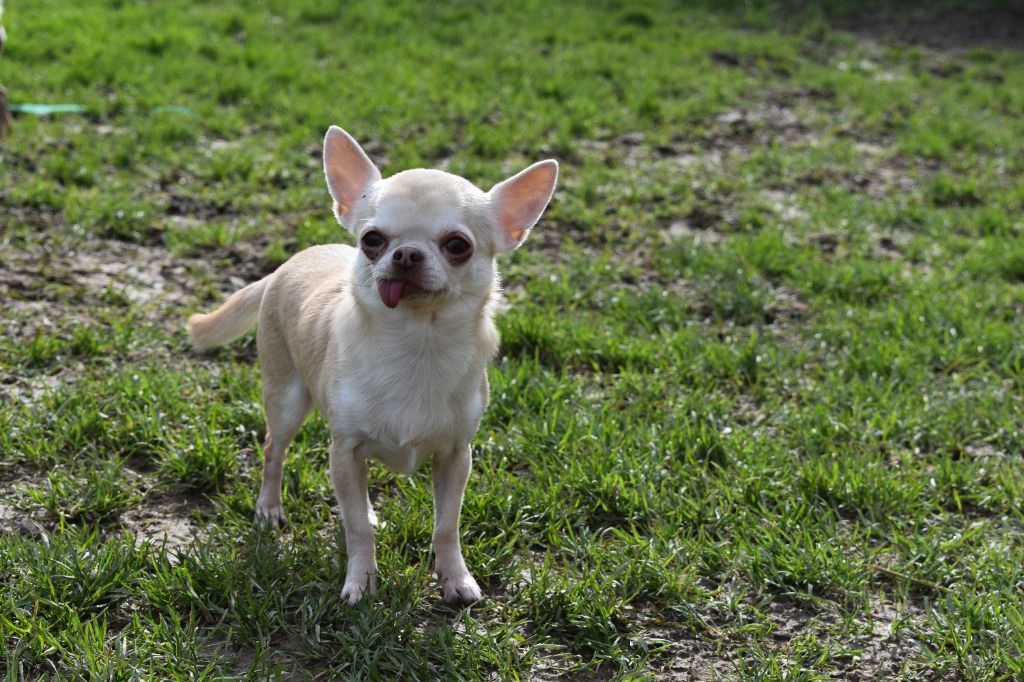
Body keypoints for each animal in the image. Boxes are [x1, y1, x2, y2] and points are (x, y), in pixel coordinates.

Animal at [184, 124, 552, 602]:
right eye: (372, 240)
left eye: (458, 245)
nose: (407, 253)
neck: (415, 342)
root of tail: (288, 263)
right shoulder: (345, 449)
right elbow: (357, 530)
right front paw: (361, 581)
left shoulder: (456, 456)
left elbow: (446, 526)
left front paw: (456, 579)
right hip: (286, 401)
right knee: (273, 450)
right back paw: (268, 507)